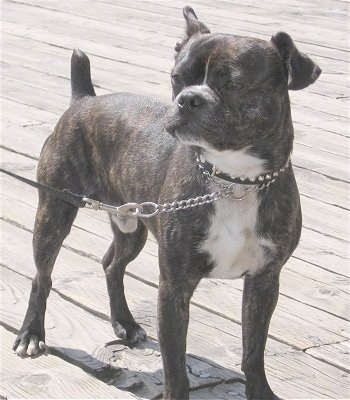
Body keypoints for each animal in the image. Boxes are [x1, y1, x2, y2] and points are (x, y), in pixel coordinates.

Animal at [13, 6, 320, 400]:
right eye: (176, 79)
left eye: (234, 84)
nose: (188, 98)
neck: (232, 182)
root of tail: (84, 100)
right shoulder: (174, 287)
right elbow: (175, 363)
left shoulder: (264, 280)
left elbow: (254, 350)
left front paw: (260, 392)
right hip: (54, 212)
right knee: (42, 276)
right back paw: (32, 335)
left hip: (131, 224)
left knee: (112, 264)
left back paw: (125, 323)